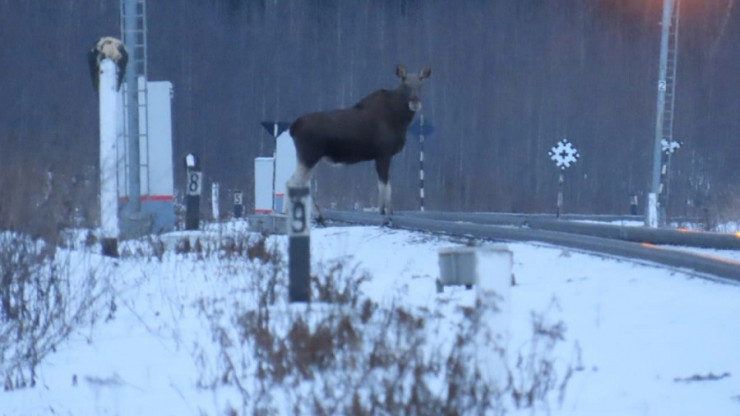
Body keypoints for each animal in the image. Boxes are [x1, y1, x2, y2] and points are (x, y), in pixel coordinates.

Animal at [286, 64, 430, 218]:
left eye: (420, 83)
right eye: (405, 83)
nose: (415, 101)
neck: (400, 120)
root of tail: (293, 127)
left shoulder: (381, 156)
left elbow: (385, 185)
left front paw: (385, 211)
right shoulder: (383, 153)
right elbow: (385, 185)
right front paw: (386, 212)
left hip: (311, 158)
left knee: (297, 183)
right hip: (309, 155)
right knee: (294, 182)